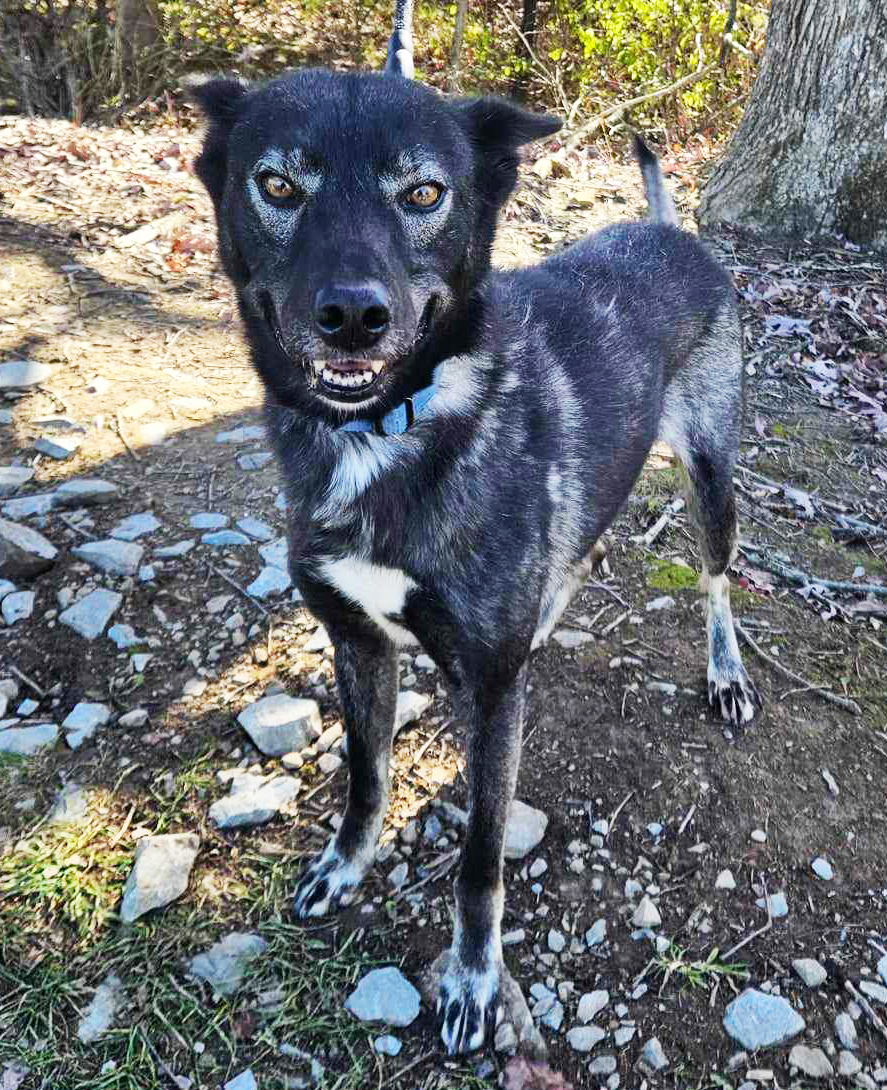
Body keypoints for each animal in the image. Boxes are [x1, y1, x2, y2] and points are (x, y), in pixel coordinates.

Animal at [190, 10, 762, 1055]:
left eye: (424, 192)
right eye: (278, 185)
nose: (352, 316)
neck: (383, 434)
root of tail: (671, 232)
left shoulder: (493, 701)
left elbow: (481, 856)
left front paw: (472, 980)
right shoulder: (357, 641)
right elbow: (366, 775)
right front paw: (345, 865)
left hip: (711, 479)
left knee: (714, 584)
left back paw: (726, 674)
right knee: (581, 550)